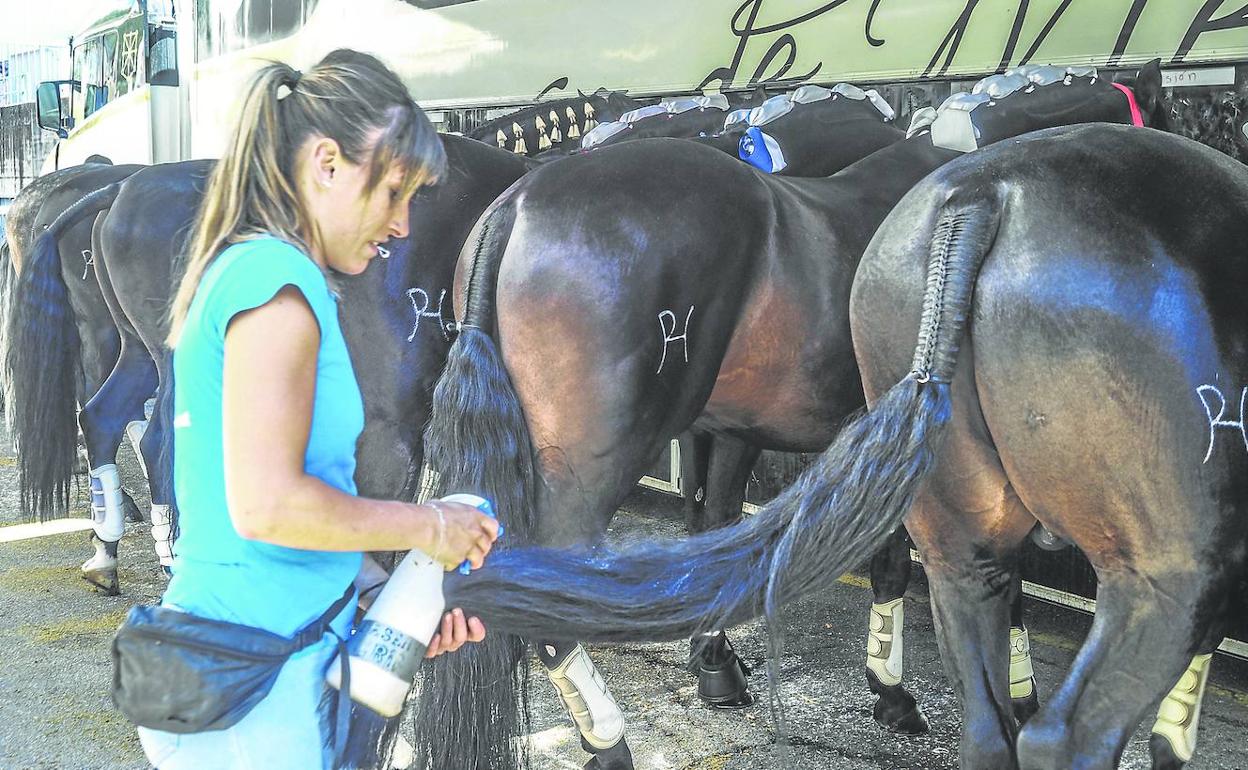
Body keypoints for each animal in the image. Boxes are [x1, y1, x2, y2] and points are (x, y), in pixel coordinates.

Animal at [411, 64, 1168, 768]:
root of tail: (517, 206)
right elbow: (930, 572)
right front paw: (912, 694)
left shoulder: (733, 432)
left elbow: (714, 527)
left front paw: (719, 666)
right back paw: (608, 740)